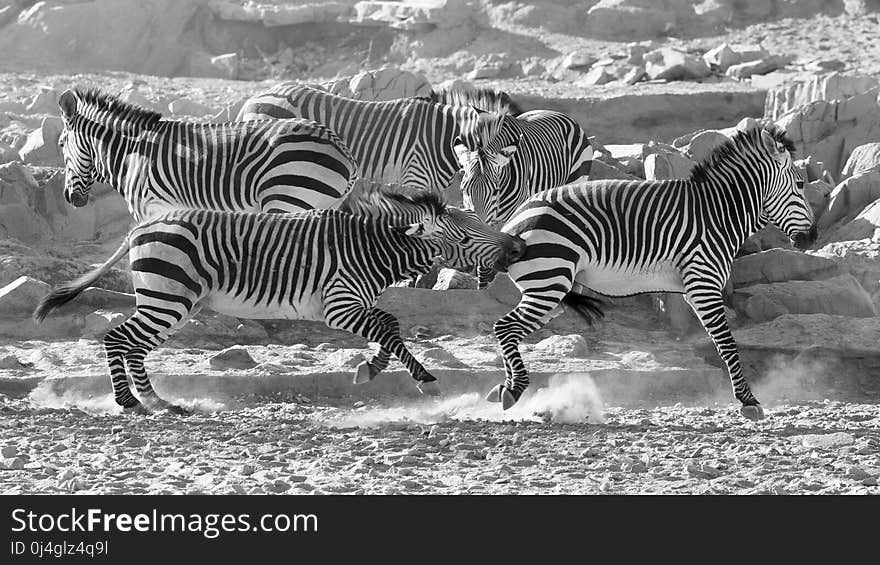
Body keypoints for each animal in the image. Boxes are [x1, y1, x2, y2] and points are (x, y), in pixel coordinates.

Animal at [36, 191, 524, 414]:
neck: (372, 252)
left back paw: (157, 400)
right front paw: (423, 379)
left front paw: (370, 368)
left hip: (174, 301)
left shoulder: (352, 305)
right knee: (118, 339)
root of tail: (142, 225)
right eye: (465, 237)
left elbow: (388, 326)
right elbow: (389, 326)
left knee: (133, 345)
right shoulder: (338, 306)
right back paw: (130, 403)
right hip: (168, 297)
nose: (518, 247)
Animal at [57, 88, 358, 220]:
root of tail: (343, 149)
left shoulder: (151, 206)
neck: (131, 154)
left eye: (60, 145)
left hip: (286, 198)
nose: (69, 199)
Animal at [484, 124, 816, 424]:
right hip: (548, 283)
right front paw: (749, 402)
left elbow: (722, 342)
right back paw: (513, 390)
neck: (719, 214)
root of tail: (513, 222)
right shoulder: (703, 283)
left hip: (547, 288)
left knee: (507, 330)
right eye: (800, 185)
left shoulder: (696, 287)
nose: (812, 238)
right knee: (505, 327)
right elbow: (727, 344)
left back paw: (507, 388)